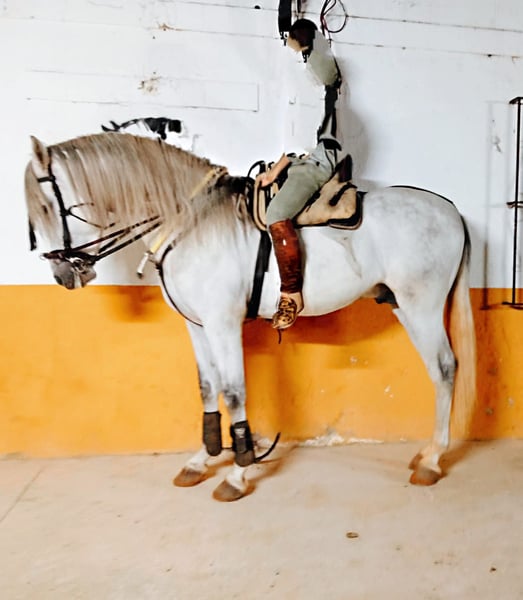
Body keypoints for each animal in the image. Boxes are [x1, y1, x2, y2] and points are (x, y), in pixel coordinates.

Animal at [25, 132, 477, 501]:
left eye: (47, 207)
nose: (63, 274)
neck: (191, 224)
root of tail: (451, 210)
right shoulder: (197, 327)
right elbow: (207, 388)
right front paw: (201, 461)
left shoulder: (223, 325)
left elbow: (234, 391)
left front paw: (238, 473)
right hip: (403, 304)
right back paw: (426, 452)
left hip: (422, 306)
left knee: (444, 368)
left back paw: (432, 461)